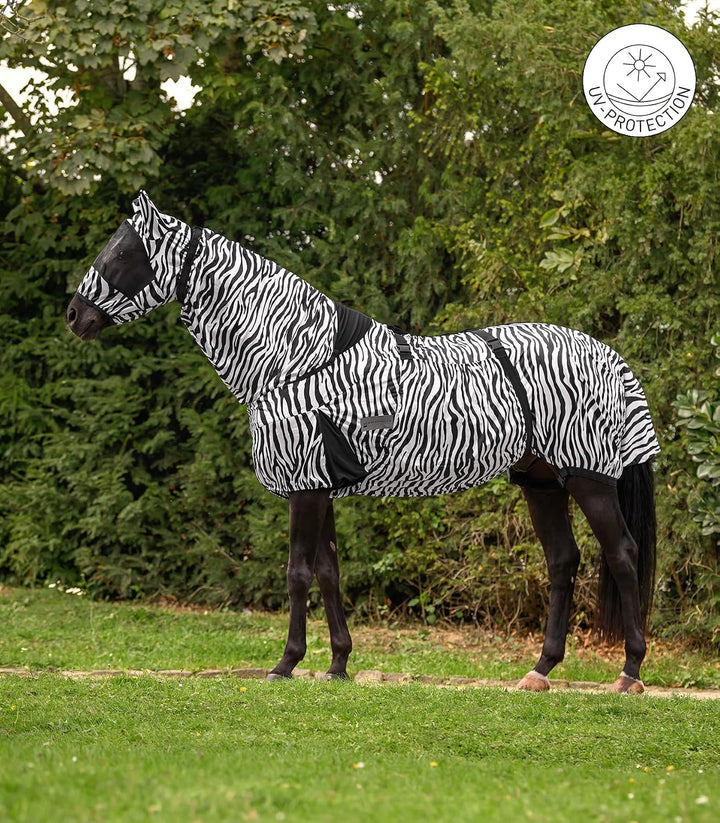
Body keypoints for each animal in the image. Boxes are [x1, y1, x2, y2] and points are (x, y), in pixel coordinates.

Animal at [67, 191, 660, 693]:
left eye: (124, 251)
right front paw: (337, 664)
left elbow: (297, 573)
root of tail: (609, 356)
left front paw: (286, 664)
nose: (75, 316)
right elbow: (328, 573)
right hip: (541, 482)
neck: (295, 359)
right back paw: (540, 671)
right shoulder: (319, 486)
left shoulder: (305, 488)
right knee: (563, 561)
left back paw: (629, 672)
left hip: (589, 479)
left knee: (623, 555)